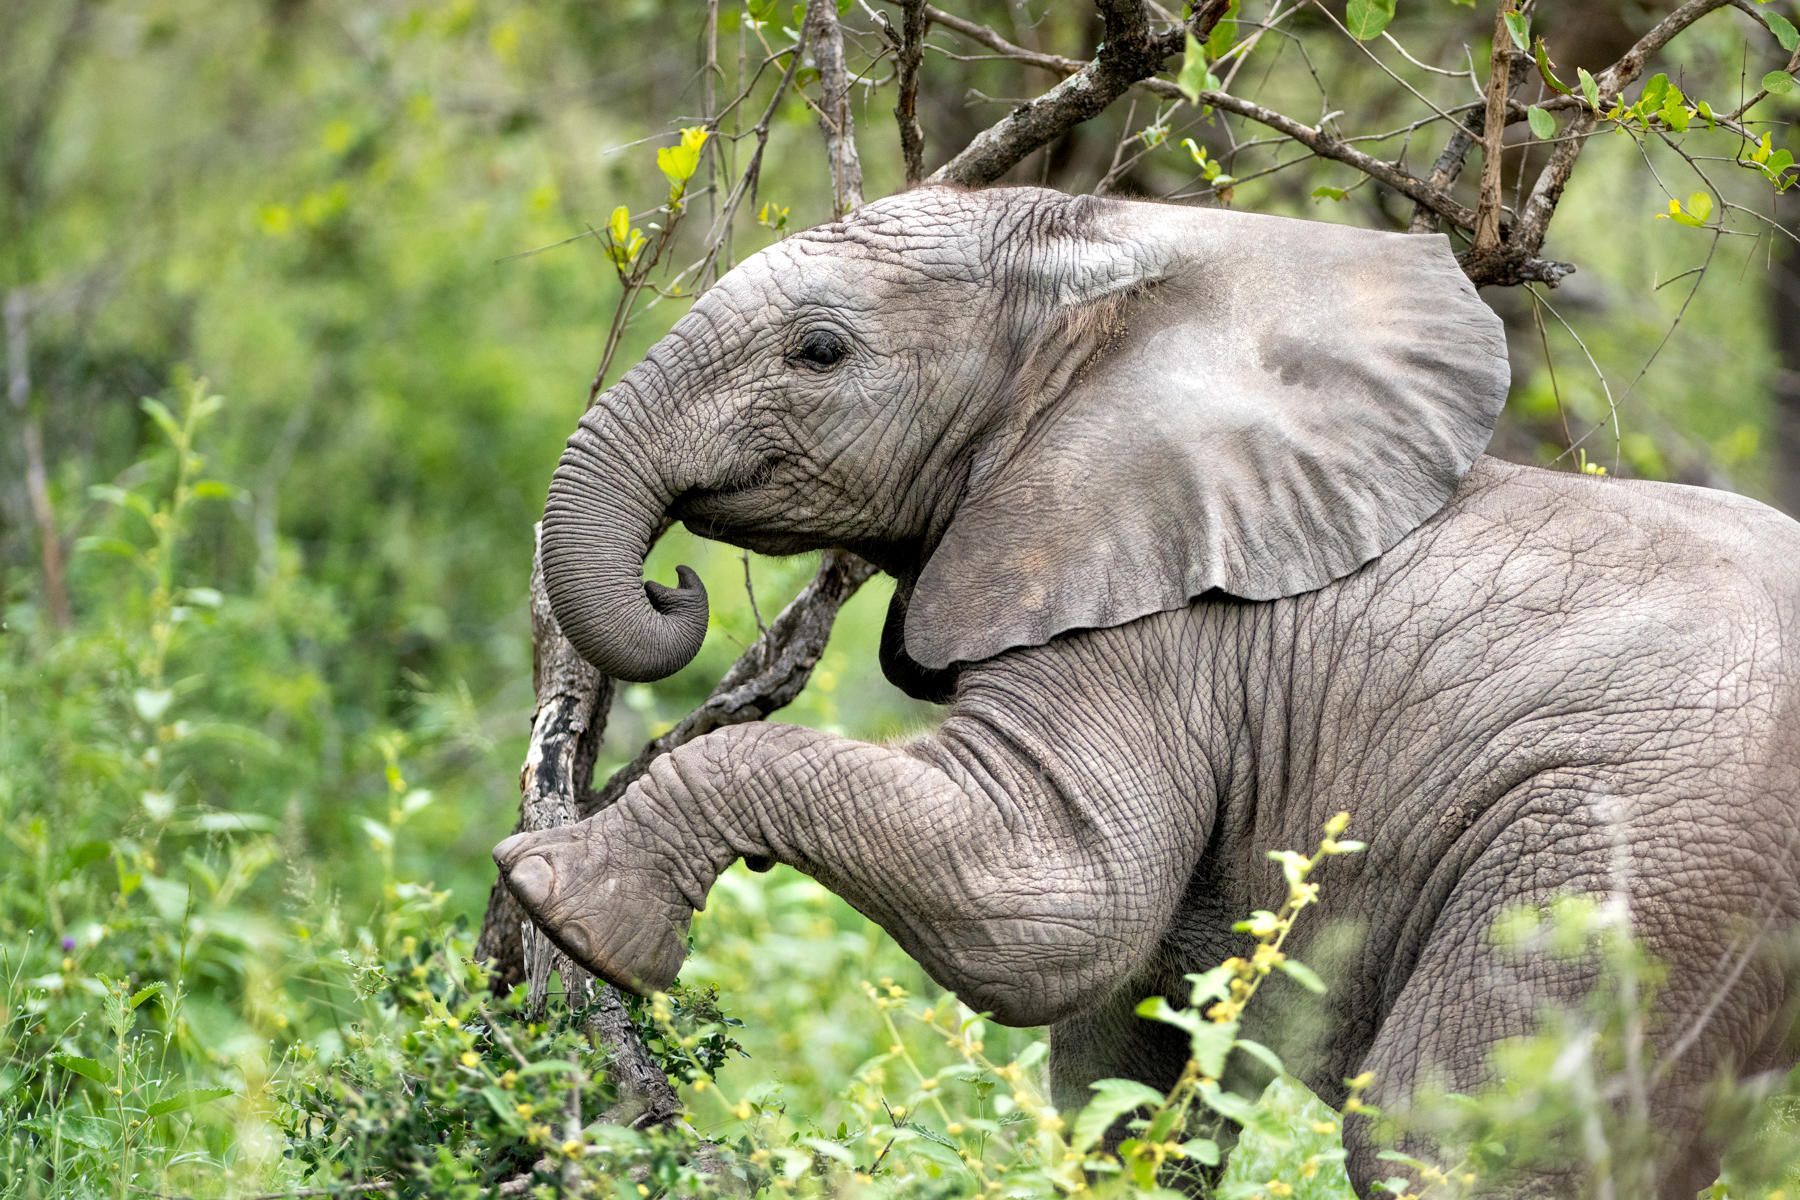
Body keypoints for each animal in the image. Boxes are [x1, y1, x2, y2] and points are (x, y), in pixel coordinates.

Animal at [493, 184, 1800, 1196]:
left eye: (820, 353)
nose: (672, 584)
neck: (1128, 257)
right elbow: (1119, 1074)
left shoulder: (1154, 629)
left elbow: (1056, 907)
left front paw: (564, 901)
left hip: (1634, 860)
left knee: (1443, 1138)